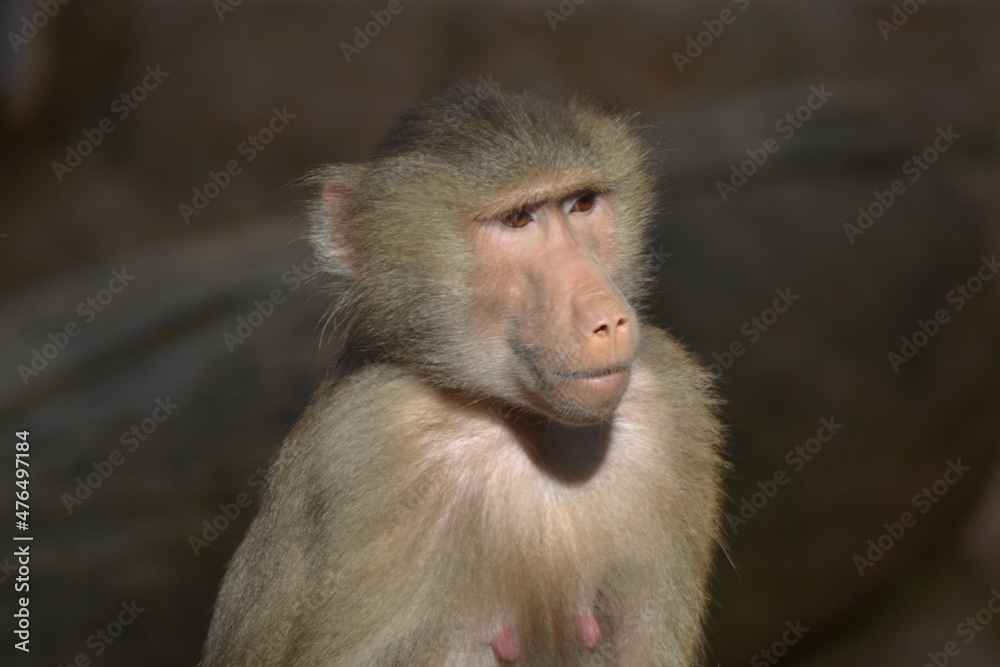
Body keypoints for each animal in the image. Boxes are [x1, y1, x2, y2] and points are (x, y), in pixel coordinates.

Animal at [203, 82, 725, 666]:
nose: (606, 319)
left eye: (582, 204)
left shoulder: (666, 403)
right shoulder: (369, 442)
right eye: (518, 219)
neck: (511, 421)